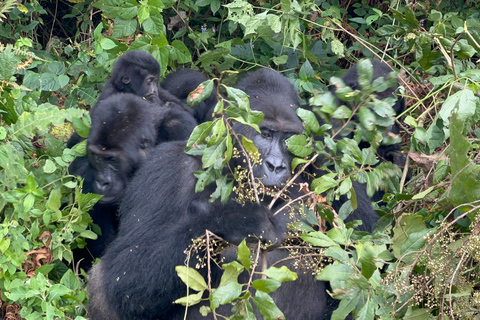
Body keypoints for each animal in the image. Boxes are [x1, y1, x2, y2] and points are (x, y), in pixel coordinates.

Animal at [85, 69, 378, 318]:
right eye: (266, 134)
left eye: (287, 138)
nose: (276, 166)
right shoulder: (165, 166)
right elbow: (124, 275)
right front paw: (238, 221)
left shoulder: (327, 164)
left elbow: (369, 250)